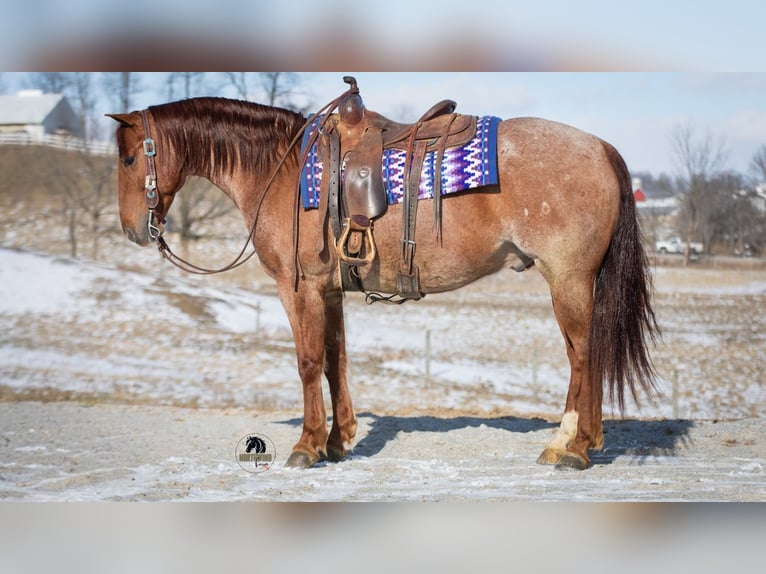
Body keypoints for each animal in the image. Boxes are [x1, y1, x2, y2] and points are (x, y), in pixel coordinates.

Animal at [107, 82, 659, 471]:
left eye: (131, 157)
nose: (133, 230)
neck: (282, 171)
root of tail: (601, 147)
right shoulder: (330, 292)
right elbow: (335, 363)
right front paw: (336, 441)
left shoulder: (299, 289)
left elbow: (308, 363)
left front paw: (306, 445)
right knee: (580, 357)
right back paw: (563, 444)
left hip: (568, 281)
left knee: (584, 355)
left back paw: (577, 449)